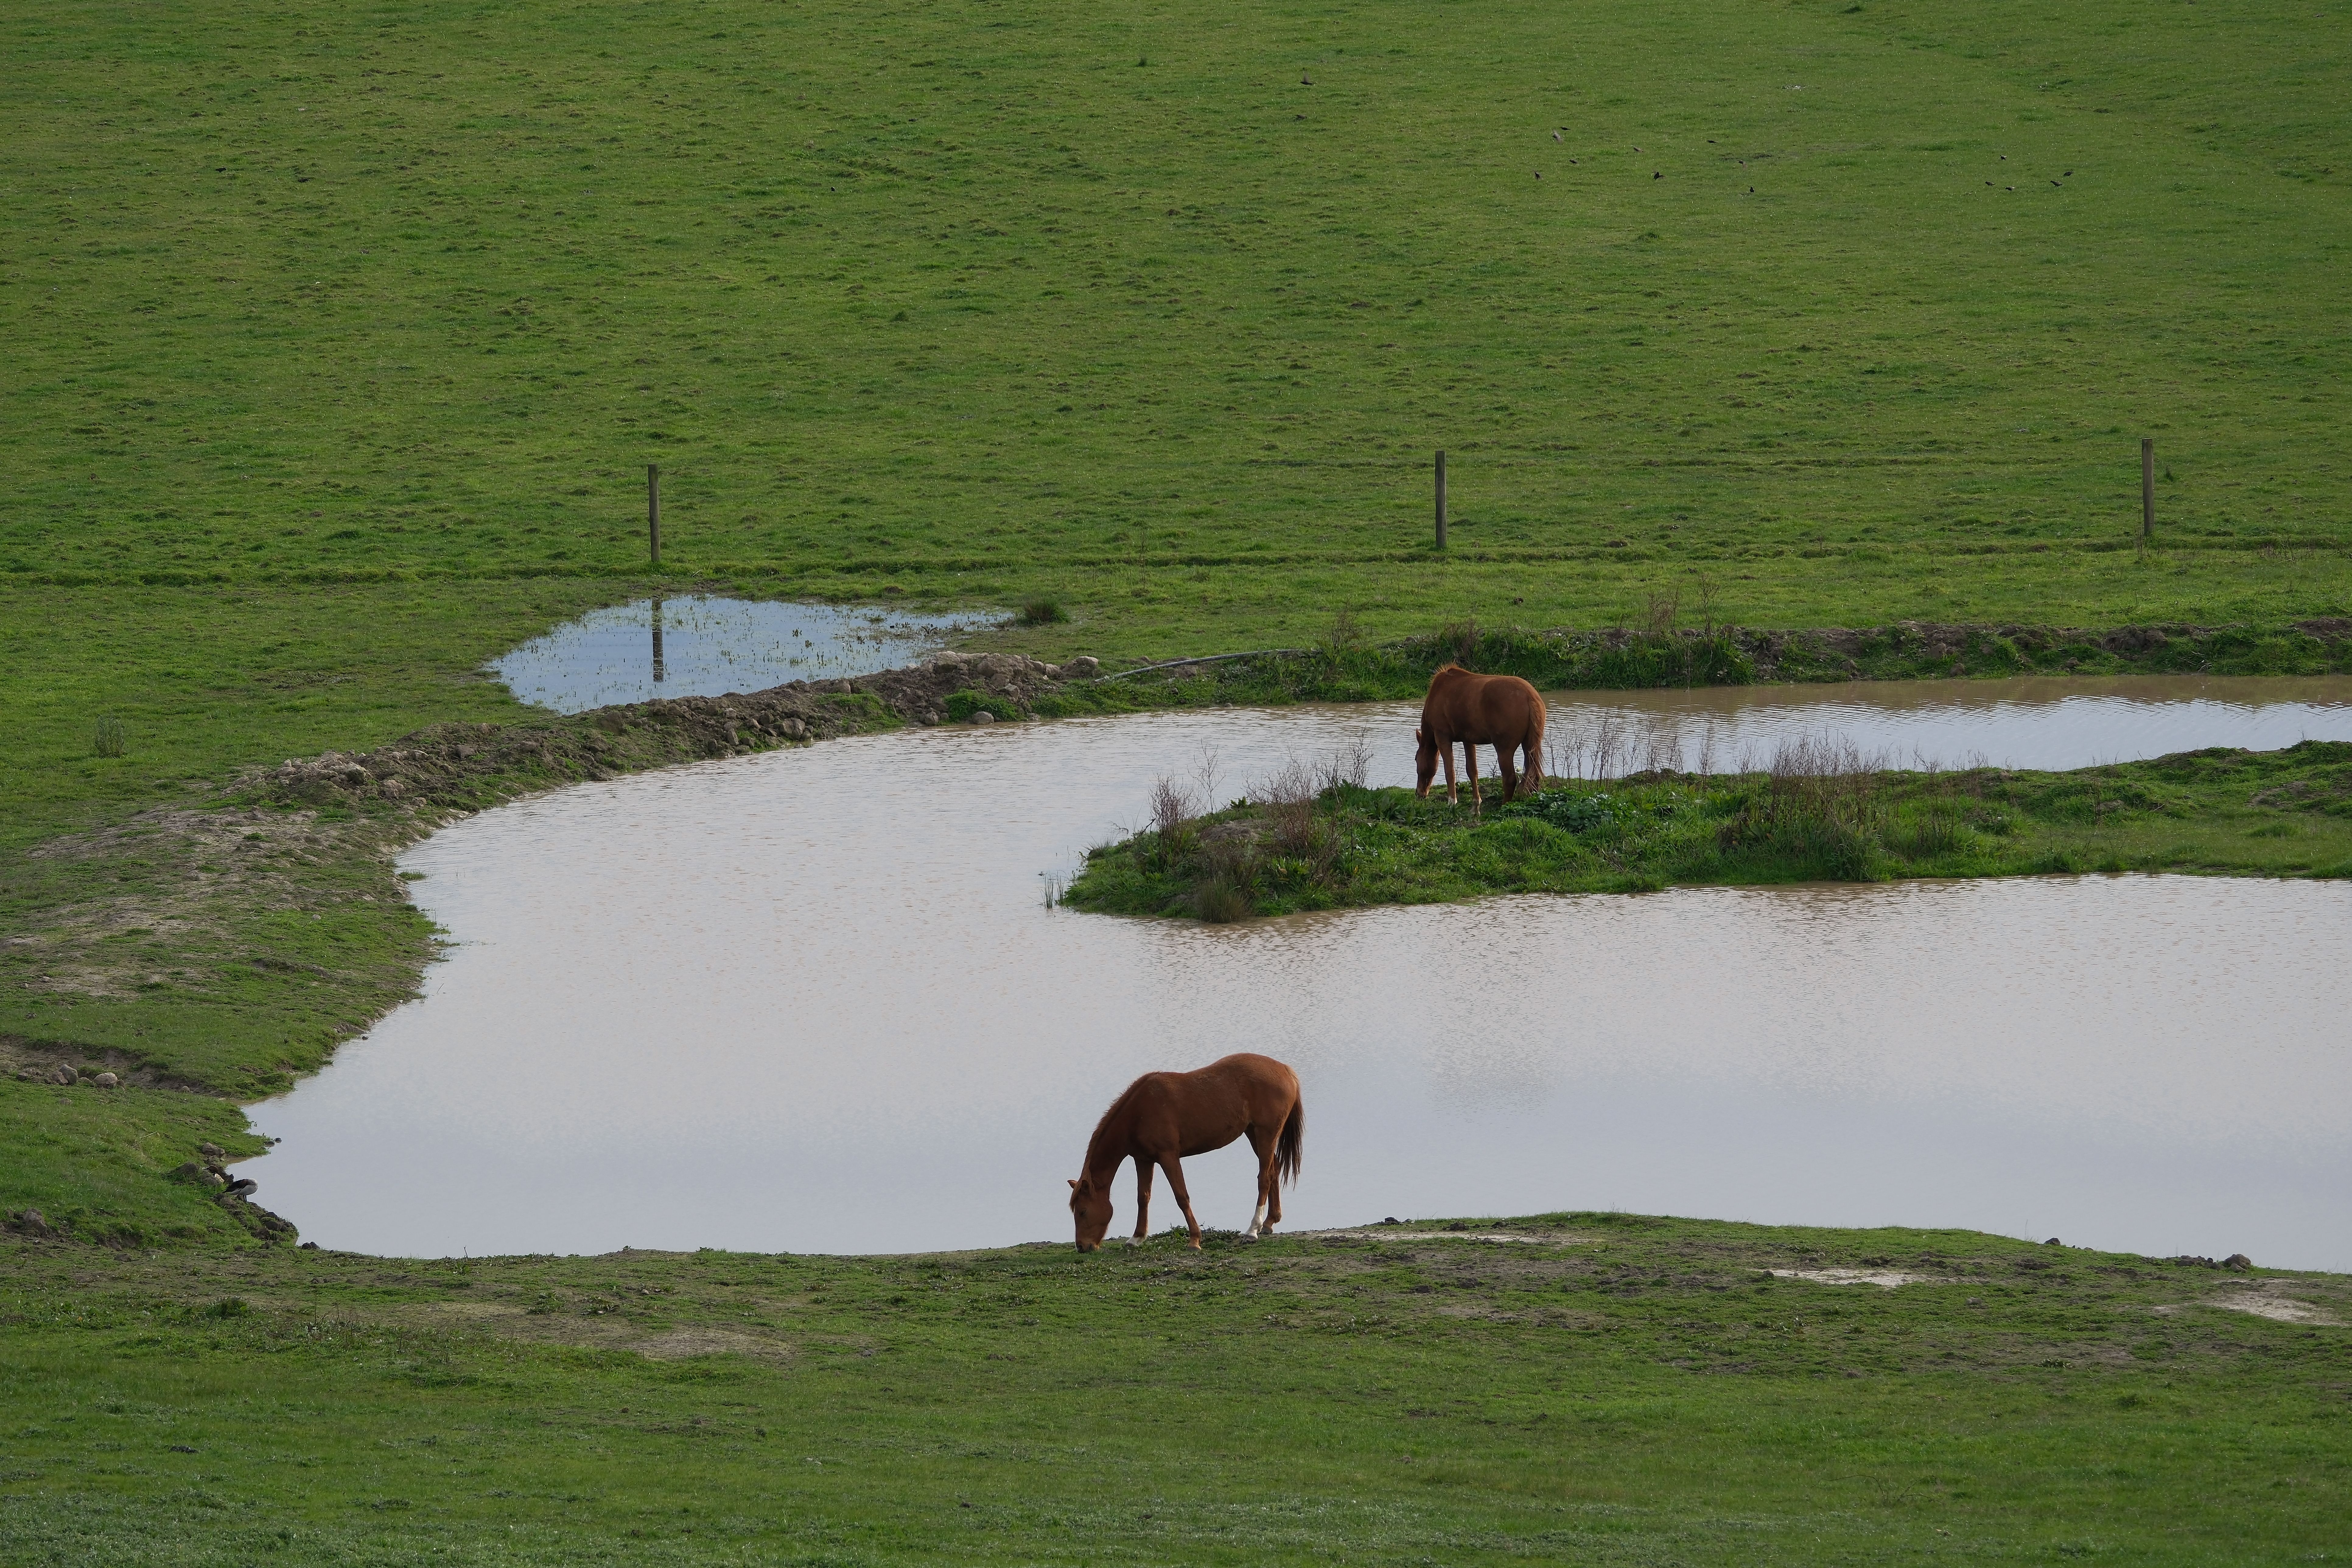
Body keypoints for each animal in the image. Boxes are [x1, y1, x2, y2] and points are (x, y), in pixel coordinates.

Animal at [1068, 1053, 1303, 1252]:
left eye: (1083, 1212)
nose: (1082, 1247)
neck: (1138, 1113)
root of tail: (1285, 1070)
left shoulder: (1169, 1157)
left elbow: (1182, 1197)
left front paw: (1195, 1241)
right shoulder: (1143, 1160)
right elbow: (1143, 1197)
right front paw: (1137, 1238)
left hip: (1266, 1134)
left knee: (1264, 1177)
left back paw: (1253, 1231)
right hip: (1253, 1133)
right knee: (1274, 1169)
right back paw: (1269, 1222)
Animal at [1414, 664, 1547, 805]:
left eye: (1417, 759)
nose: (1419, 793)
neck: (1438, 693)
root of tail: (1530, 697)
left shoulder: (1442, 737)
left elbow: (1449, 771)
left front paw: (1452, 801)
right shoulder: (1468, 740)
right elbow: (1472, 771)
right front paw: (1476, 801)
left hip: (1504, 749)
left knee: (1510, 779)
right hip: (1529, 745)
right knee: (1534, 775)